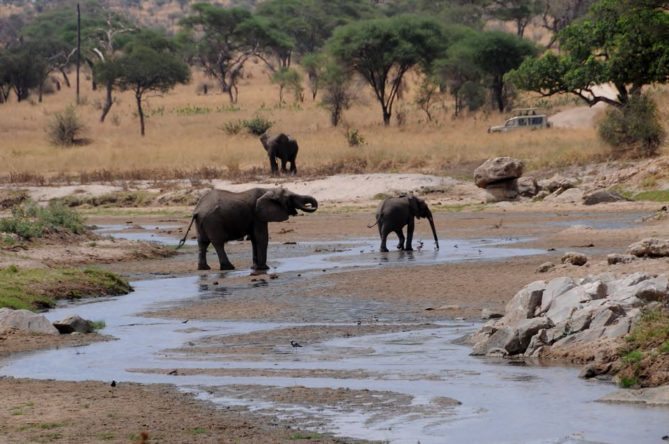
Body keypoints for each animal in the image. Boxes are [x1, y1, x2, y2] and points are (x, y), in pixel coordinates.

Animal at [177, 188, 318, 271]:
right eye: (290, 198)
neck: (268, 190)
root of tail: (197, 210)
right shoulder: (257, 215)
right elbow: (261, 237)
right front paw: (264, 268)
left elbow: (255, 239)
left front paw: (255, 267)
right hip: (213, 221)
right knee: (218, 243)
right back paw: (228, 267)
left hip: (201, 222)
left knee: (202, 243)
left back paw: (204, 268)